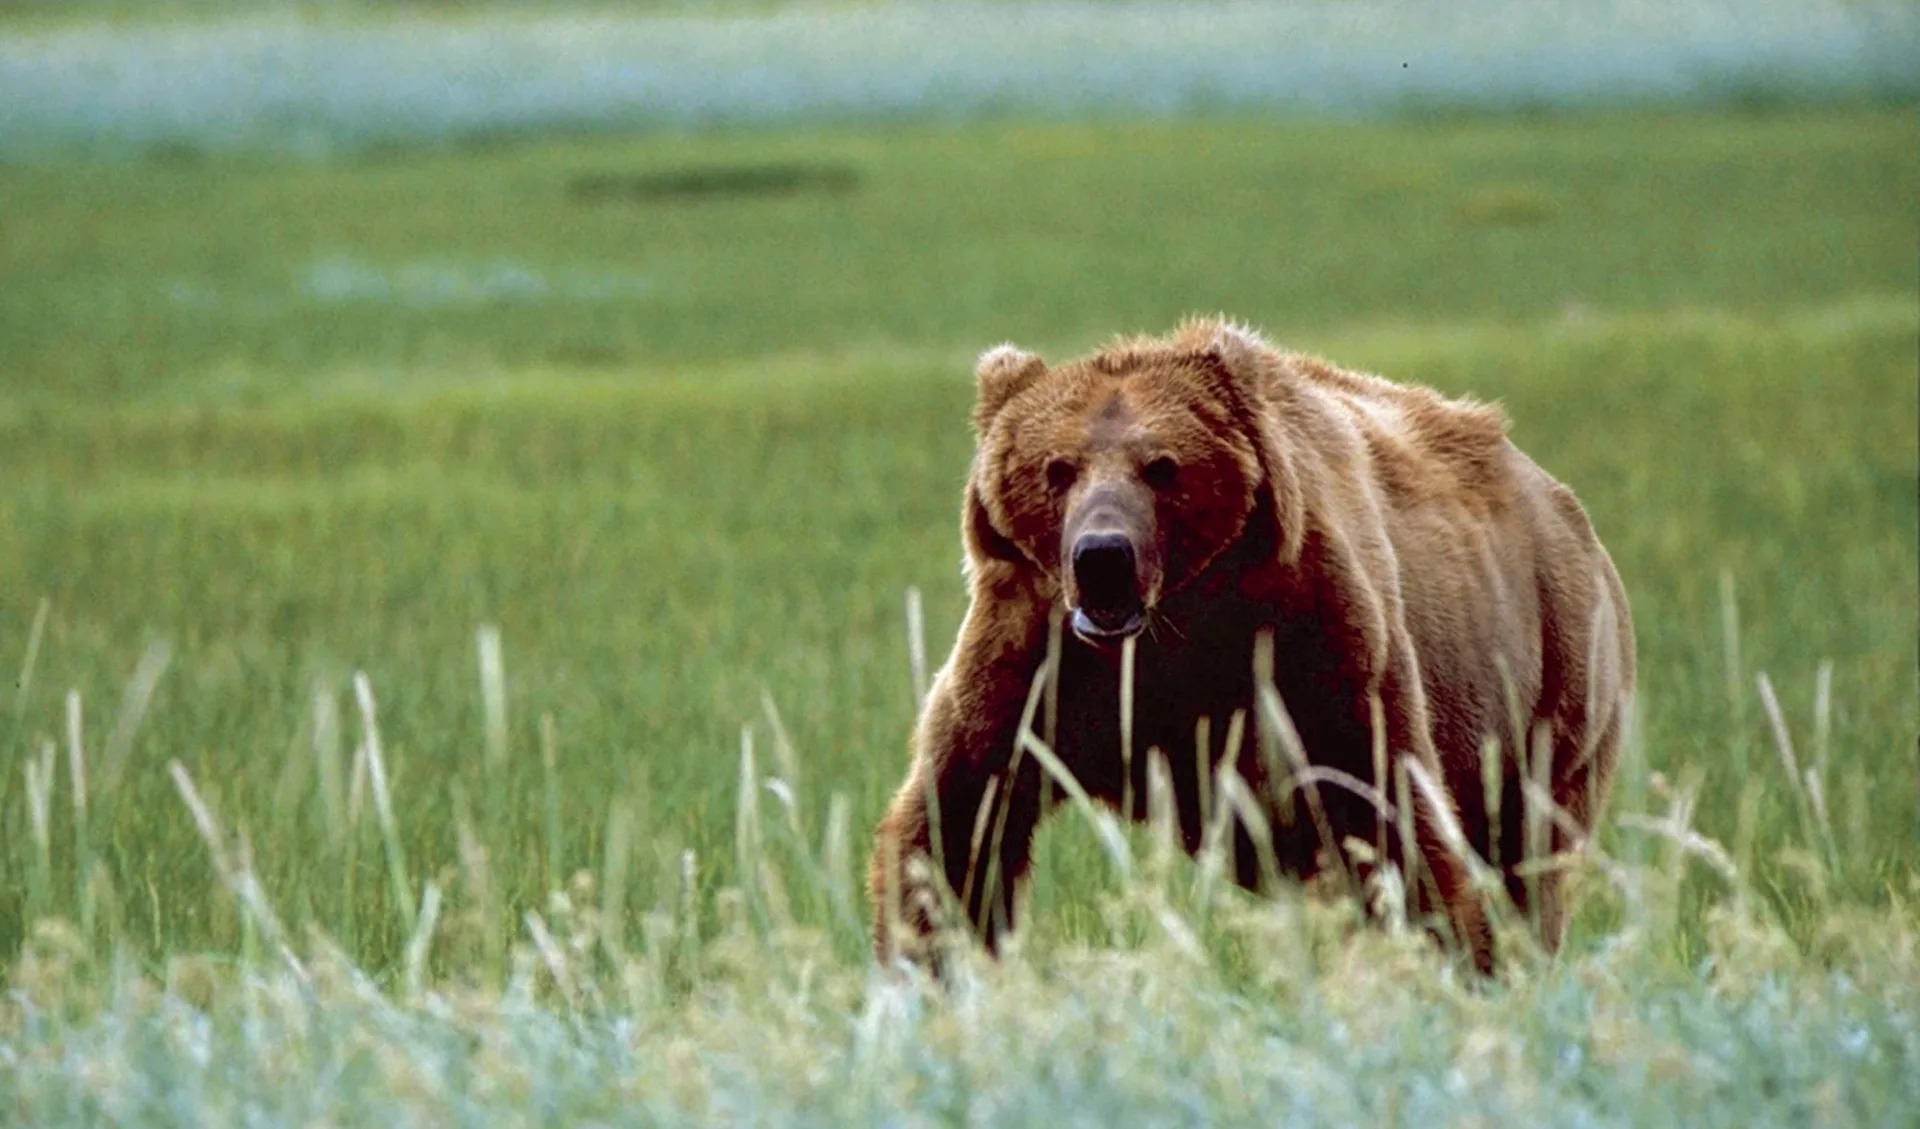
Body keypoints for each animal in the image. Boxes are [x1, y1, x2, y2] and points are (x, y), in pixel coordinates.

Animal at [869, 317, 1635, 974]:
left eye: (1163, 467)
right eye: (1056, 468)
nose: (1103, 556)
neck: (1175, 621)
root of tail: (1565, 505)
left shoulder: (1314, 641)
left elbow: (1389, 820)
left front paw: (1442, 961)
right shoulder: (1034, 655)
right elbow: (956, 818)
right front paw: (925, 969)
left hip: (1555, 675)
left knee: (1530, 855)